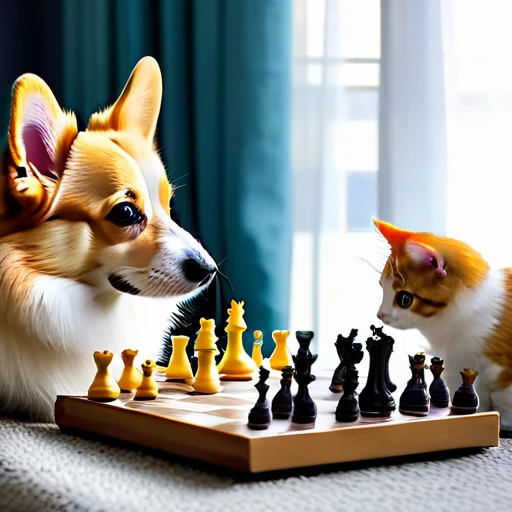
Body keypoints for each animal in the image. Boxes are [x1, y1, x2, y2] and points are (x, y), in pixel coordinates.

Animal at [374, 218, 512, 430]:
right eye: (382, 287)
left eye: (405, 299)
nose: (380, 315)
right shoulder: (457, 362)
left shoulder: (502, 368)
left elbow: (504, 398)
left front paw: (503, 423)